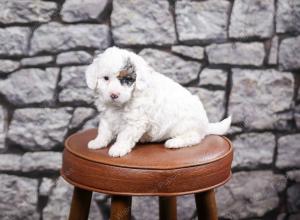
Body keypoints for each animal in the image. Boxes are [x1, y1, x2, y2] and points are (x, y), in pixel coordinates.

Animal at [85, 46, 231, 156]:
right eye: (106, 78)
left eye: (127, 79)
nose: (114, 95)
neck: (119, 106)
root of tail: (205, 125)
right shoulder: (107, 116)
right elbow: (104, 130)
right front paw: (97, 142)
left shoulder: (135, 121)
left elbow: (125, 135)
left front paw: (118, 148)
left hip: (185, 126)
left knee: (194, 137)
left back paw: (174, 142)